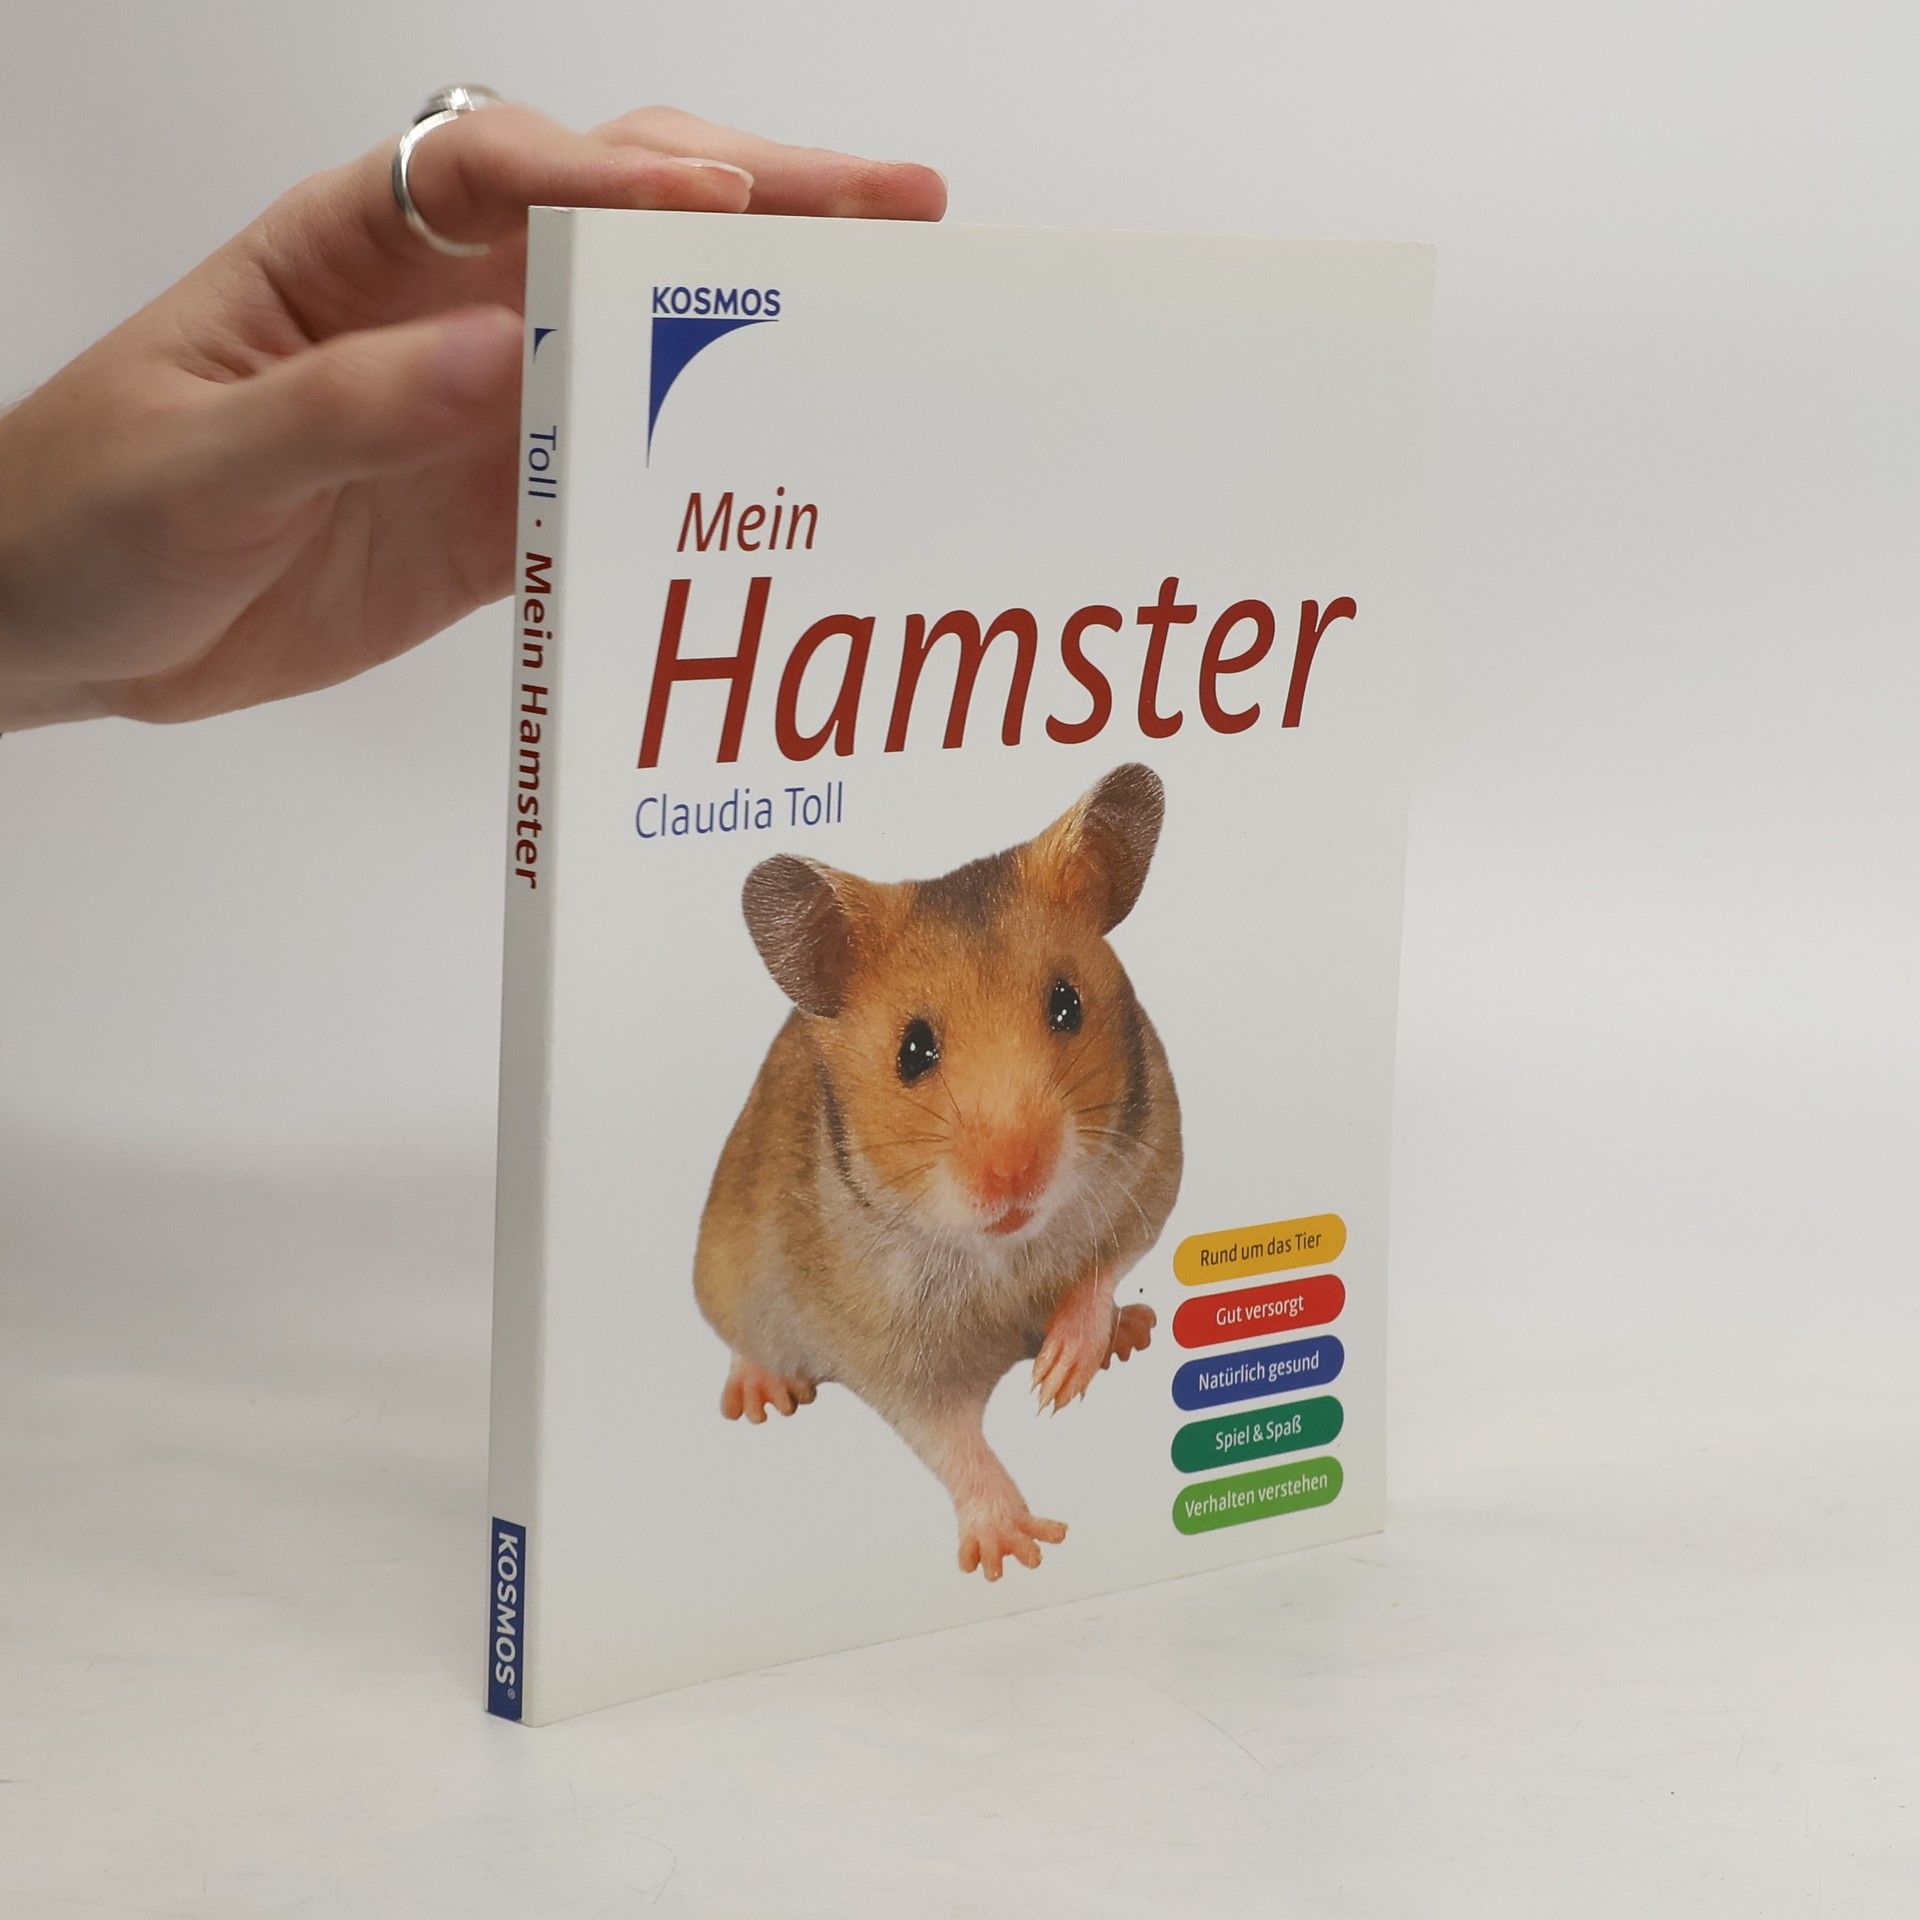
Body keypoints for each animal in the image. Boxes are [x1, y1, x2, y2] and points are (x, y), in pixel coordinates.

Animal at [694, 763, 1183, 1579]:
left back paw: (1131, 1333)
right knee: (744, 1342)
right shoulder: (895, 1360)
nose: (1016, 1179)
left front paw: (1060, 1377)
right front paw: (1014, 1553)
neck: (1004, 1250)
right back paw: (763, 1396)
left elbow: (1101, 1270)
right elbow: (952, 1441)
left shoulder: (1151, 1174)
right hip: (725, 1275)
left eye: (1067, 1004)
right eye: (913, 1050)